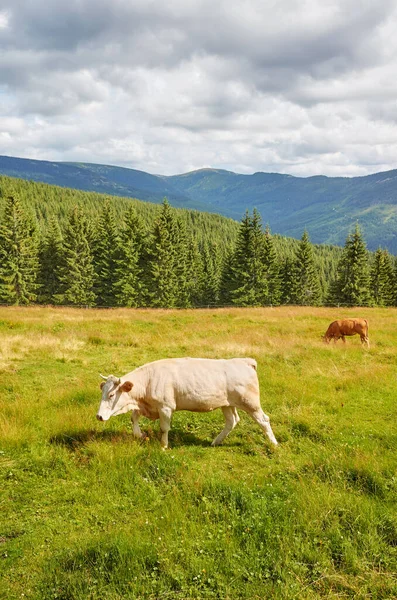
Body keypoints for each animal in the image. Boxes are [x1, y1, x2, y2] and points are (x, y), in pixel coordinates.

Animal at [96, 356, 276, 450]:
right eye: (102, 392)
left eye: (111, 394)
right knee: (231, 421)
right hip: (227, 404)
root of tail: (245, 361)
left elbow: (164, 428)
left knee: (264, 420)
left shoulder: (165, 407)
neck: (148, 381)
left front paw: (163, 446)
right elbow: (133, 417)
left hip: (251, 403)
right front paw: (139, 434)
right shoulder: (146, 406)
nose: (99, 416)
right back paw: (215, 441)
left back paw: (274, 444)